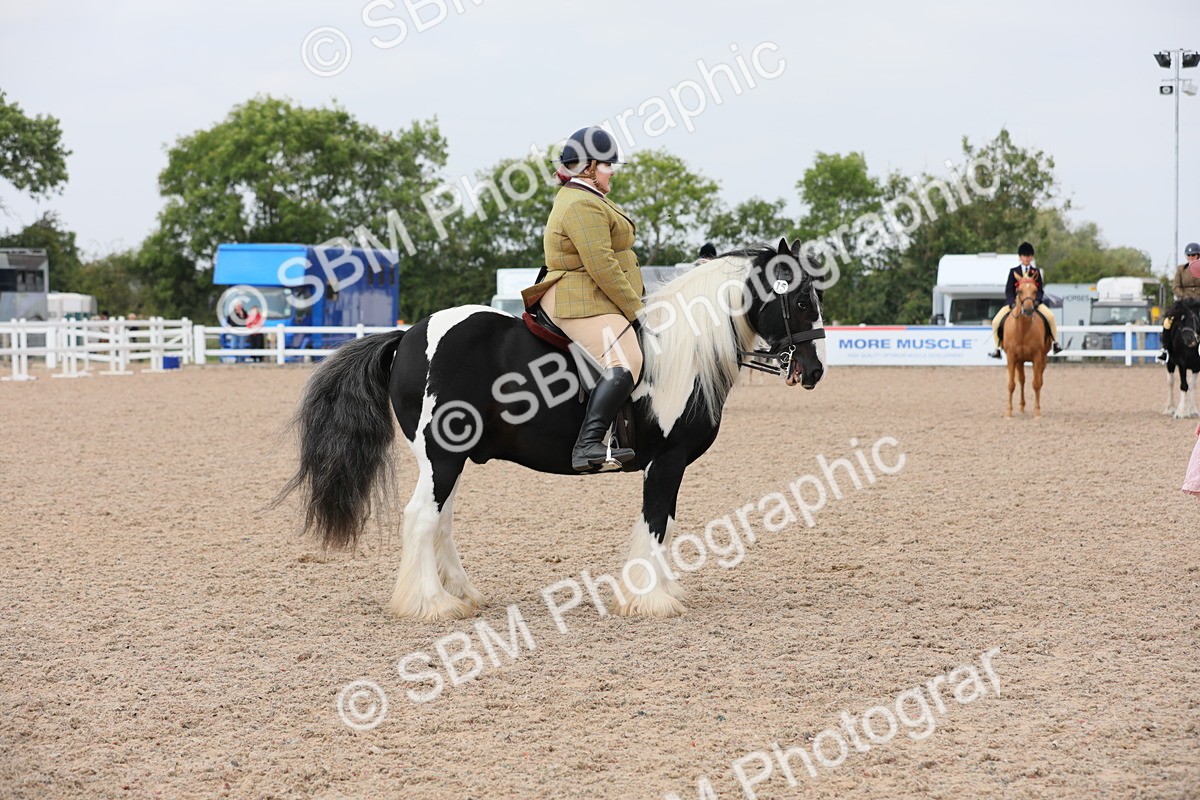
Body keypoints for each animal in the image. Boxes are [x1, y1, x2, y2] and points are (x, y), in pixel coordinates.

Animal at [277, 239, 828, 620]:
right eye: (801, 300)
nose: (814, 370)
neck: (682, 350)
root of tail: (408, 334)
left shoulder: (664, 464)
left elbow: (664, 523)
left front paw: (659, 591)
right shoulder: (667, 461)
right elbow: (655, 522)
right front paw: (651, 600)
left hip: (447, 460)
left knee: (441, 520)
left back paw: (462, 593)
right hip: (441, 456)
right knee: (420, 519)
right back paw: (433, 604)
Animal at [1001, 276, 1052, 418]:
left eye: (1035, 290)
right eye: (1019, 291)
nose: (1028, 309)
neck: (1023, 329)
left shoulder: (1037, 358)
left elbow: (1036, 384)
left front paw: (1037, 411)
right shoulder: (1012, 358)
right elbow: (1011, 385)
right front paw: (1009, 412)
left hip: (1043, 359)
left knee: (1039, 381)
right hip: (1020, 361)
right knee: (1022, 381)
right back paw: (1022, 407)